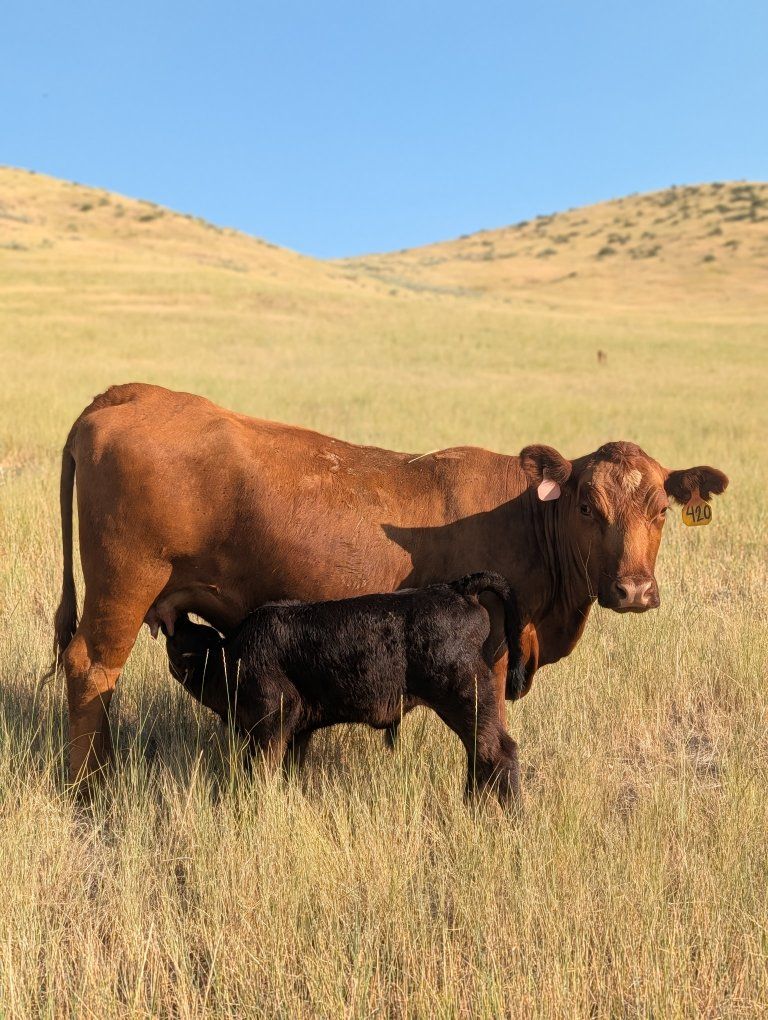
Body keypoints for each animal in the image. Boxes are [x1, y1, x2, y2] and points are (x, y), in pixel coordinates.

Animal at [162, 572, 526, 806]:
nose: (175, 619)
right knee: (479, 754)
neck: (229, 656)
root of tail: (458, 590)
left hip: (465, 699)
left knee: (497, 751)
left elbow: (261, 771)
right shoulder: (298, 733)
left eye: (185, 639)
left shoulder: (271, 725)